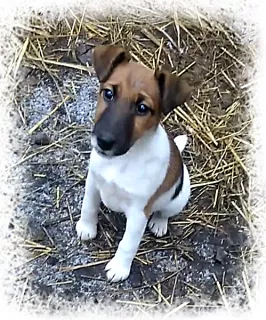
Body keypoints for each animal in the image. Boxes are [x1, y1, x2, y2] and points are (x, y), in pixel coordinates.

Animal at [76, 45, 191, 282]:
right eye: (108, 94)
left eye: (142, 108)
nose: (104, 141)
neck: (122, 160)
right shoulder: (93, 182)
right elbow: (88, 207)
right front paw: (86, 227)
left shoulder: (139, 213)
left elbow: (128, 243)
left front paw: (119, 268)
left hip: (179, 198)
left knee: (165, 212)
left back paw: (159, 223)